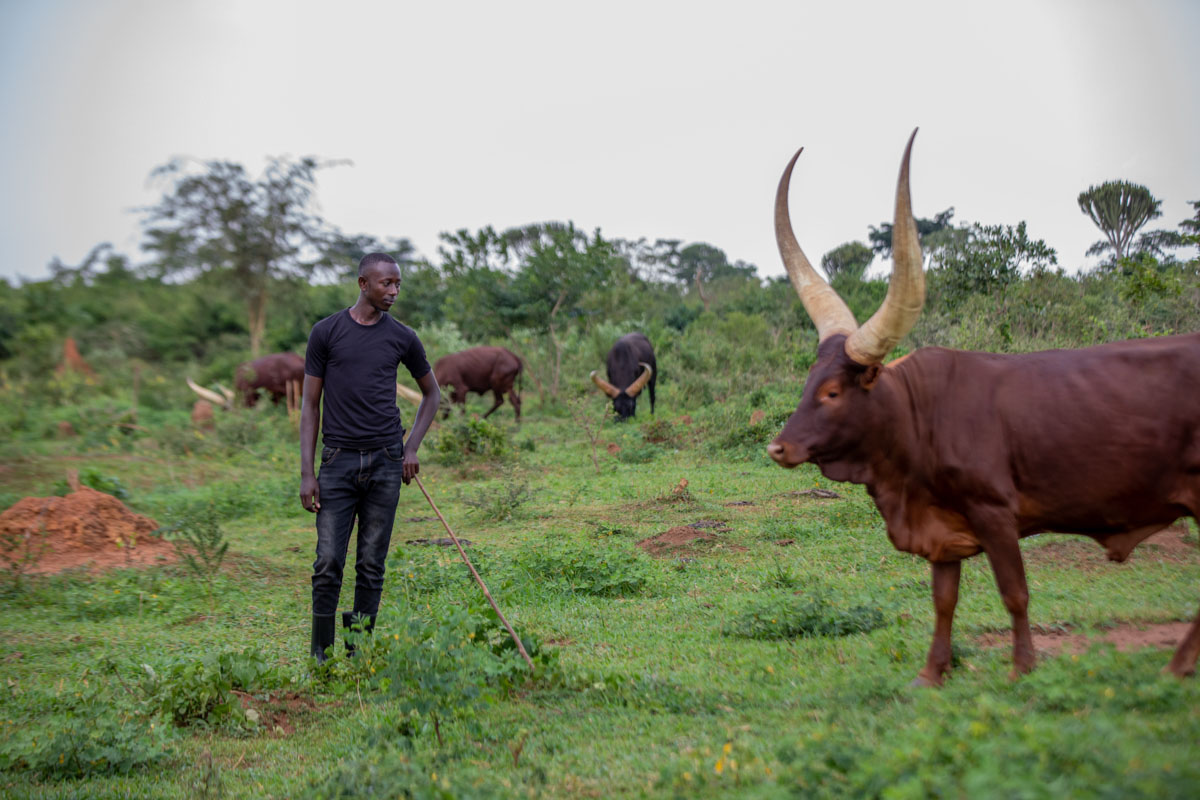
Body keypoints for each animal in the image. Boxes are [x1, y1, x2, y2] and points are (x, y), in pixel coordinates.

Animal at [766, 130, 1200, 686]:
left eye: (833, 393)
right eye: (808, 382)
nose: (779, 448)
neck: (916, 420)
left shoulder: (995, 515)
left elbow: (1014, 593)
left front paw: (1022, 669)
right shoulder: (940, 529)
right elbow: (943, 600)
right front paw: (932, 674)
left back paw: (1177, 665)